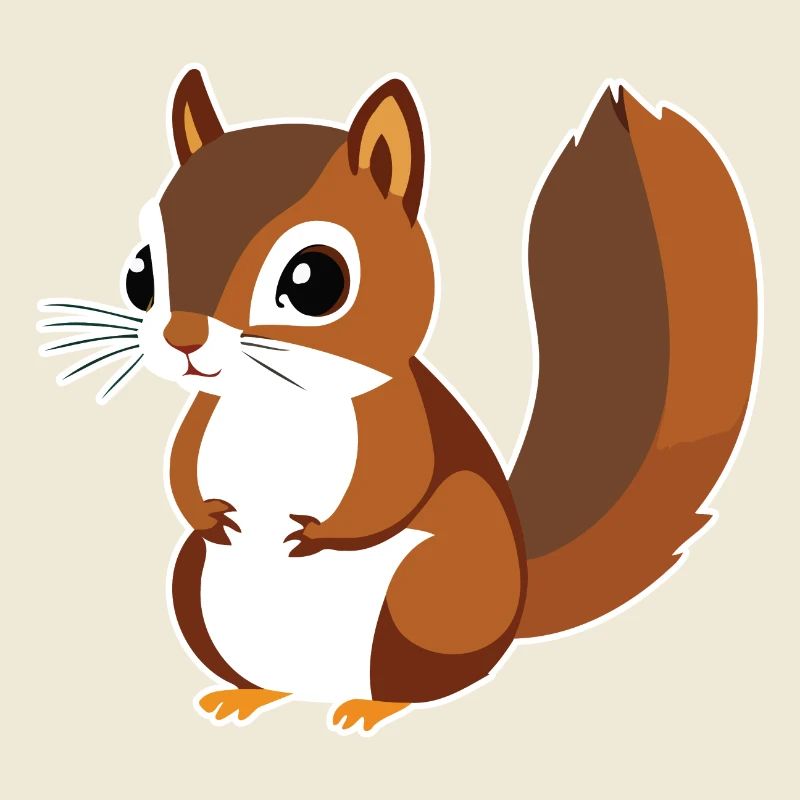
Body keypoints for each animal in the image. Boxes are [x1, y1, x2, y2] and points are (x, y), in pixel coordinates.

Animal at [38, 66, 758, 735]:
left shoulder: (399, 422)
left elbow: (392, 488)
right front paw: (210, 515)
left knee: (420, 681)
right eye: (140, 271)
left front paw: (315, 533)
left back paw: (371, 706)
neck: (273, 403)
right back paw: (247, 694)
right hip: (195, 588)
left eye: (315, 279)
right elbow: (181, 472)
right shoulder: (203, 420)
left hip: (429, 596)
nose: (182, 337)